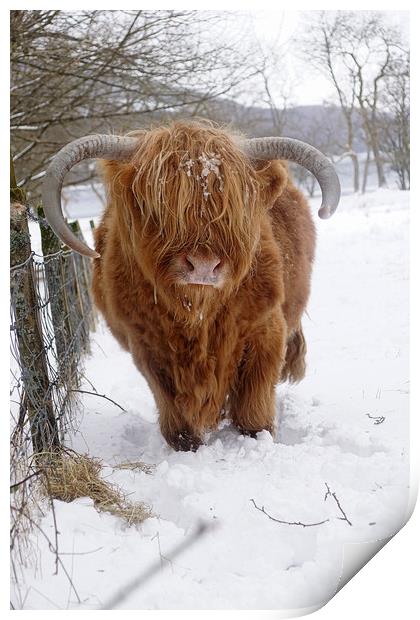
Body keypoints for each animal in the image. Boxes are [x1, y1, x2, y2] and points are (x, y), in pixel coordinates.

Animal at [41, 120, 340, 450]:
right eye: (158, 205)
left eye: (233, 206)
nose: (203, 265)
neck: (197, 314)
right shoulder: (145, 344)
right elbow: (173, 407)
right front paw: (187, 444)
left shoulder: (264, 330)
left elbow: (253, 403)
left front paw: (256, 437)